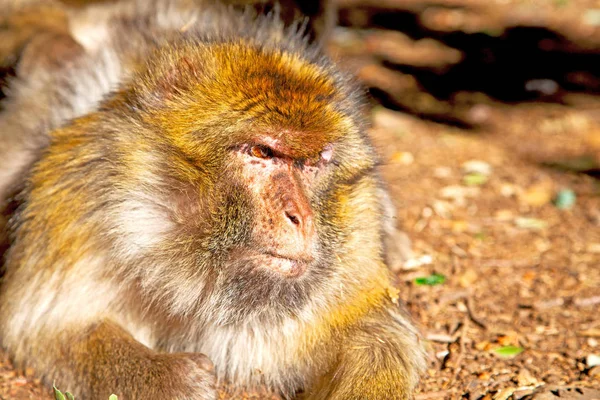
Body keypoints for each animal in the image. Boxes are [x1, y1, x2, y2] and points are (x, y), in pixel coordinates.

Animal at [0, 1, 426, 398]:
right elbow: (40, 328)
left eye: (314, 162)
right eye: (262, 152)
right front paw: (167, 378)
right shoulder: (76, 209)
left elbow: (379, 337)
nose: (301, 217)